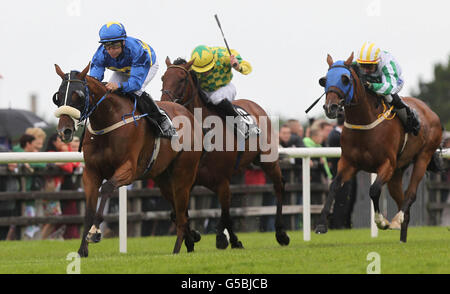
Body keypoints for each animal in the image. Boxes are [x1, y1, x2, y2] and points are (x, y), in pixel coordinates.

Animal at [51, 63, 203, 255]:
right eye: (58, 96)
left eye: (78, 95)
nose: (65, 131)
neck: (107, 120)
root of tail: (188, 114)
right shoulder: (91, 172)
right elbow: (89, 210)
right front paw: (81, 251)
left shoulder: (129, 169)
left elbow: (107, 188)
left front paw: (95, 232)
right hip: (164, 180)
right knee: (179, 212)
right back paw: (191, 240)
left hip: (183, 175)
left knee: (182, 215)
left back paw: (176, 251)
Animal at [160, 56, 290, 248]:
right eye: (163, 78)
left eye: (182, 79)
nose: (164, 103)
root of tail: (255, 105)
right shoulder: (189, 180)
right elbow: (177, 214)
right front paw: (195, 235)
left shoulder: (221, 180)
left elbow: (225, 212)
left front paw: (224, 238)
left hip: (267, 160)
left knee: (279, 186)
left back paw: (281, 233)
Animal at [318, 52, 442, 241]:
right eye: (324, 80)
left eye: (345, 79)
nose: (330, 107)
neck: (364, 120)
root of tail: (430, 112)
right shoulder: (349, 163)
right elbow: (334, 185)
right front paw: (321, 224)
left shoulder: (387, 164)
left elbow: (374, 189)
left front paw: (381, 221)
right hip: (398, 171)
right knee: (401, 198)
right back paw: (402, 236)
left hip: (423, 156)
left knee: (410, 194)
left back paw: (396, 220)